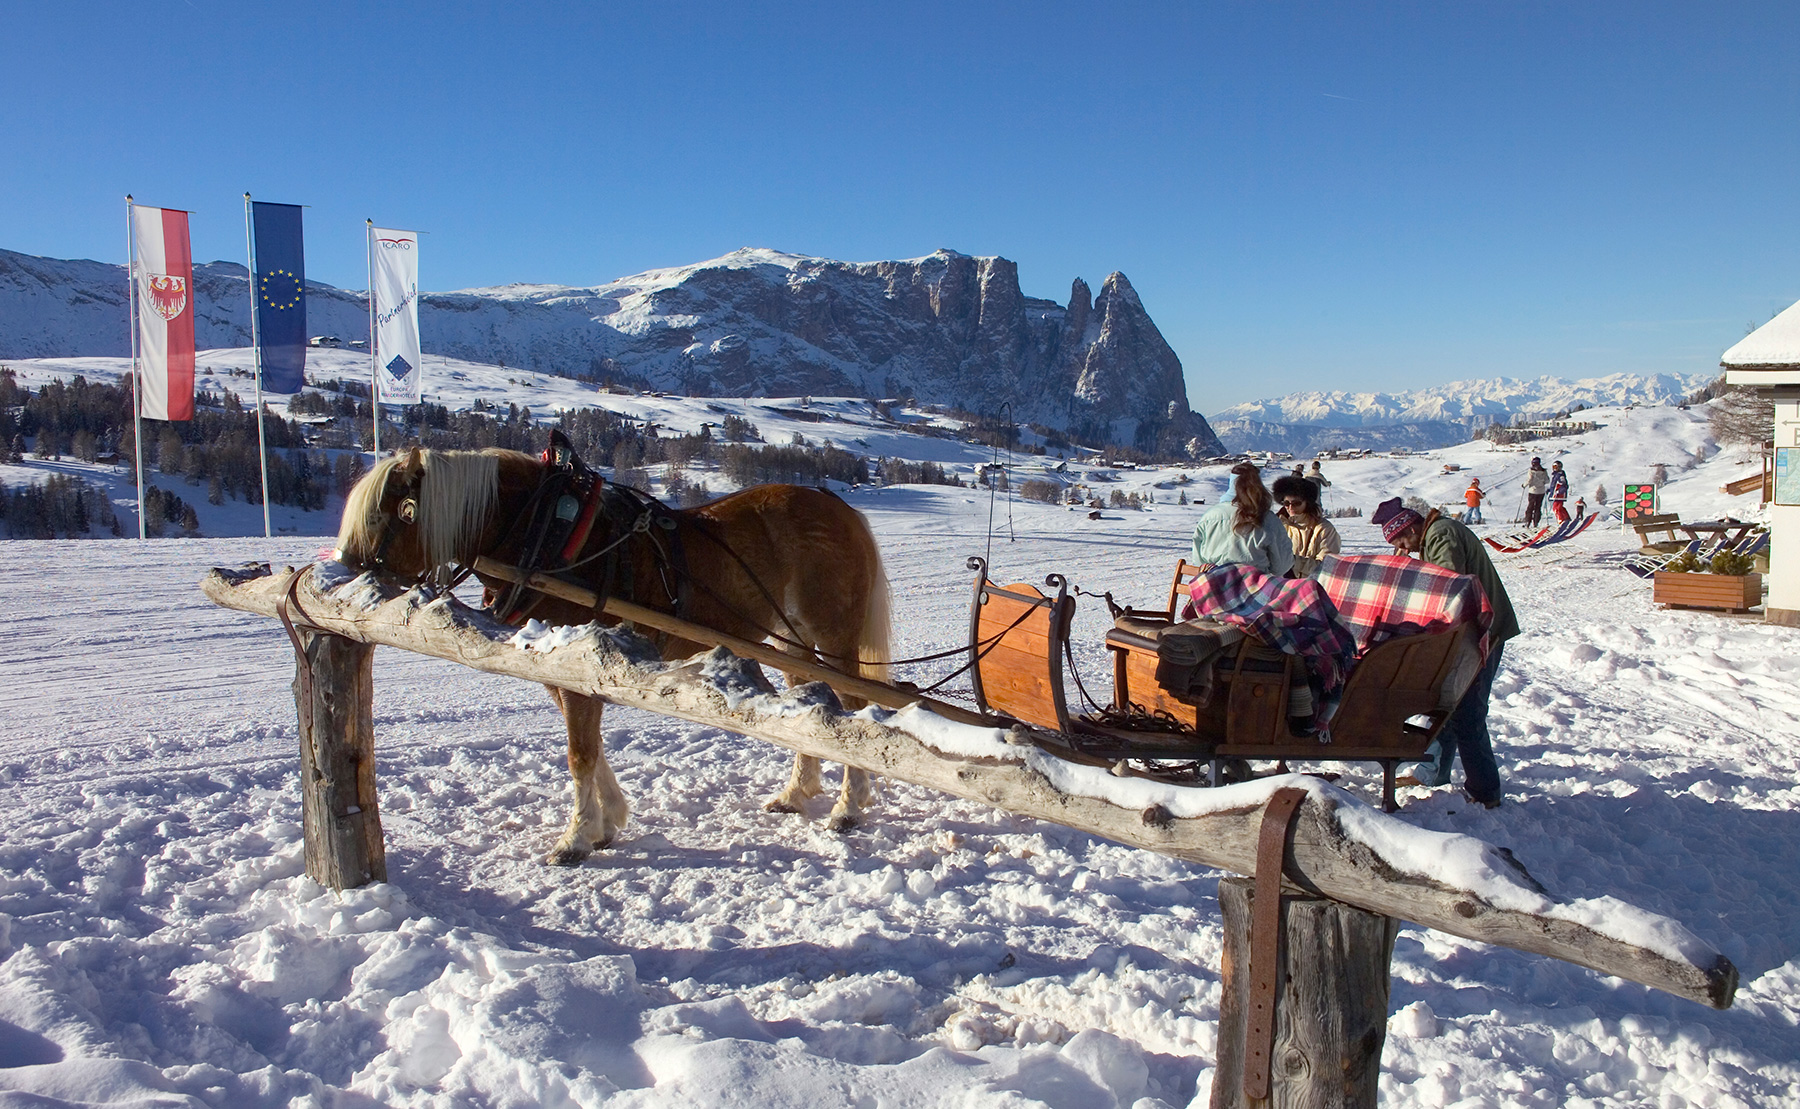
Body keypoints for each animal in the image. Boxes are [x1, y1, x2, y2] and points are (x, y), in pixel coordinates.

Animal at [333, 444, 892, 867]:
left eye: (386, 515)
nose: (341, 582)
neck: (546, 539)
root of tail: (839, 506)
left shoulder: (582, 664)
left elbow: (579, 753)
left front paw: (574, 840)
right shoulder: (563, 668)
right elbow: (591, 747)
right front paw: (608, 822)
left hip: (832, 637)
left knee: (849, 709)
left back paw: (848, 807)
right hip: (788, 641)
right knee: (809, 705)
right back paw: (797, 795)